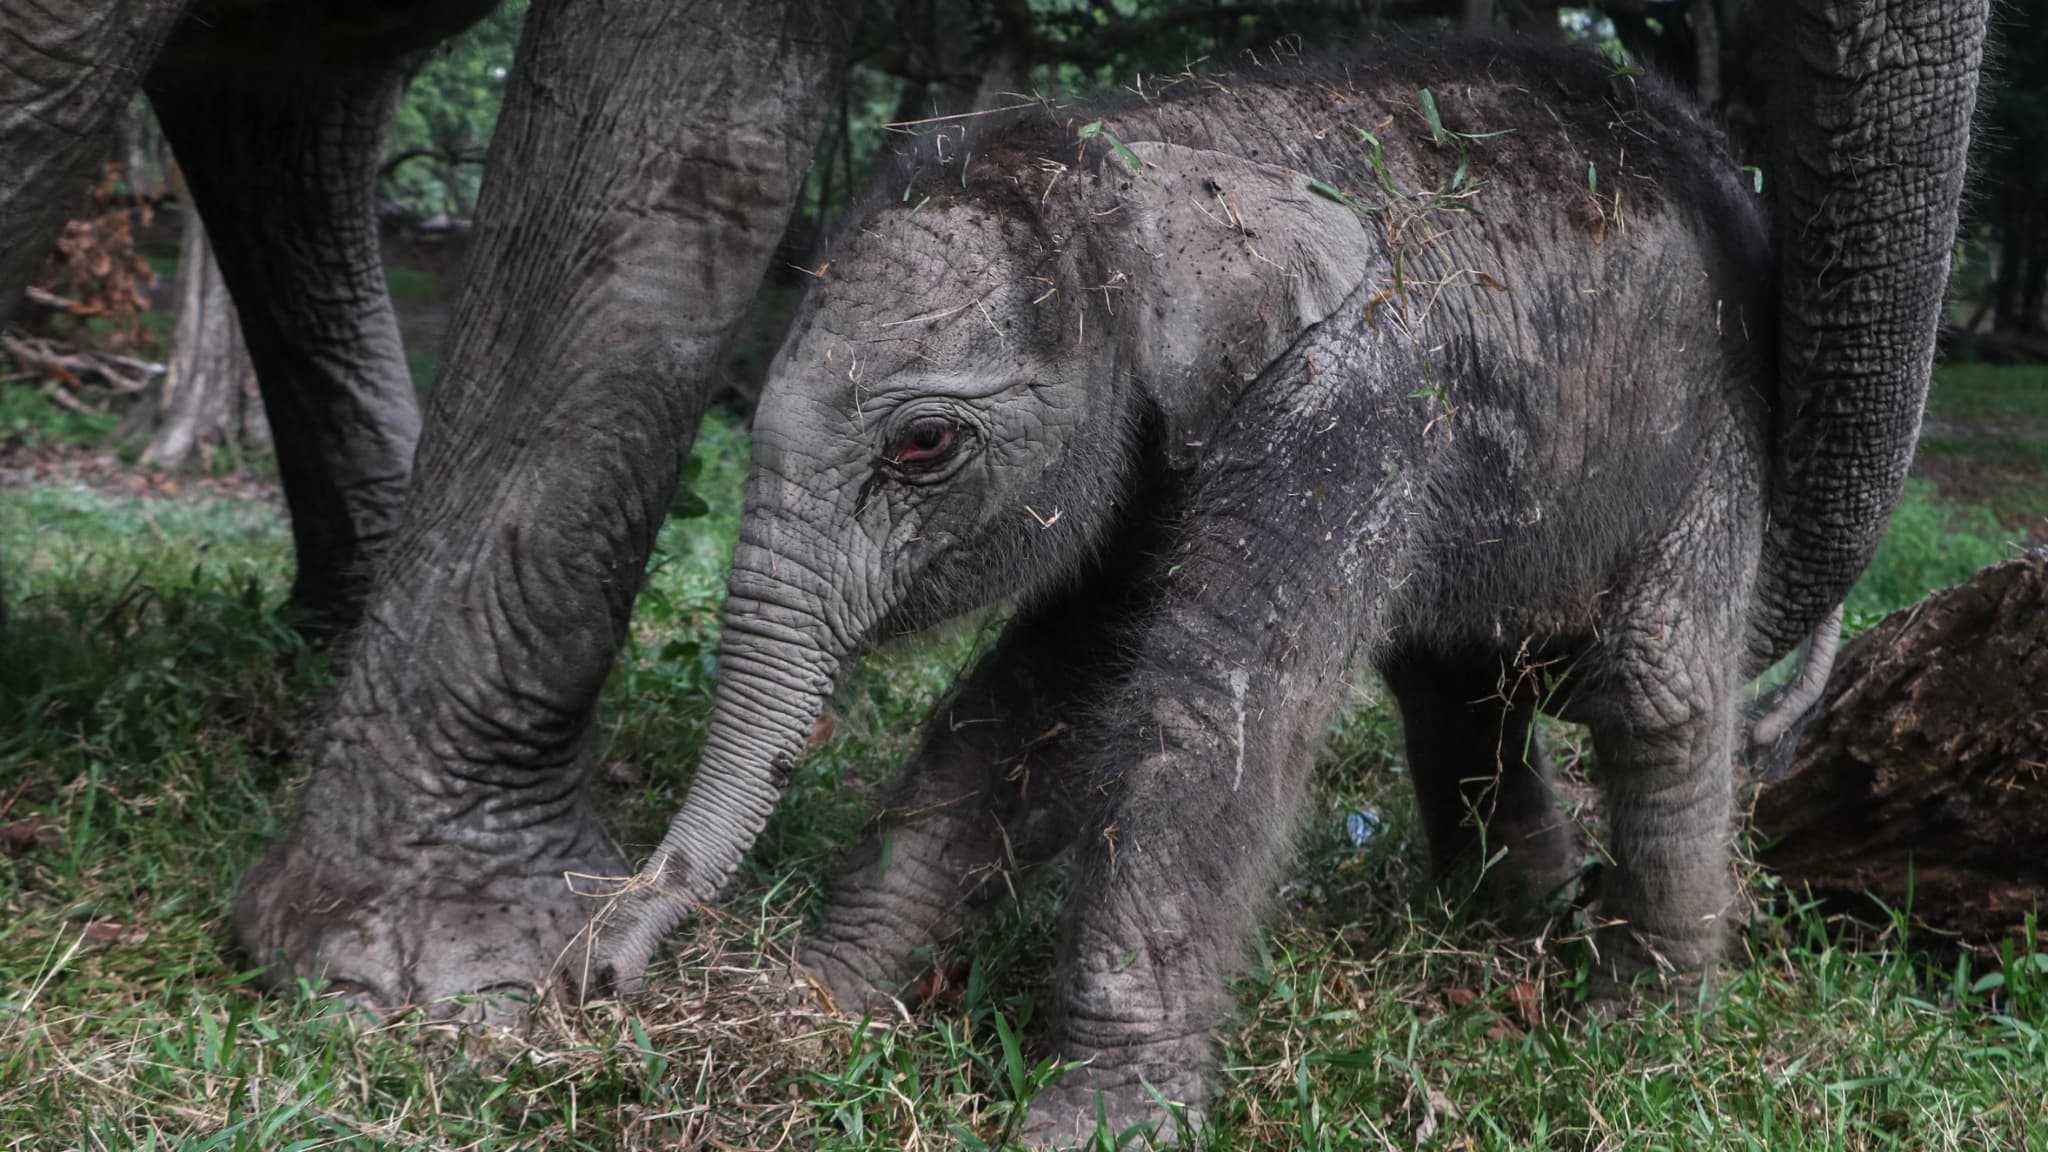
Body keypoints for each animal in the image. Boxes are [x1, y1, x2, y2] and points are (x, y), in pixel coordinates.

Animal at [581, 33, 1933, 1139]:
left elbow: (1210, 710)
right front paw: (815, 1008)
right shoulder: (1156, 452)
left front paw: (1092, 1126)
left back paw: (1636, 1024)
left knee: (1655, 681)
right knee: (1453, 680)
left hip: (1711, 427)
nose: (601, 971)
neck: (1160, 149)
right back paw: (1509, 920)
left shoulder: (1353, 390)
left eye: (921, 444)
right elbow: (1044, 701)